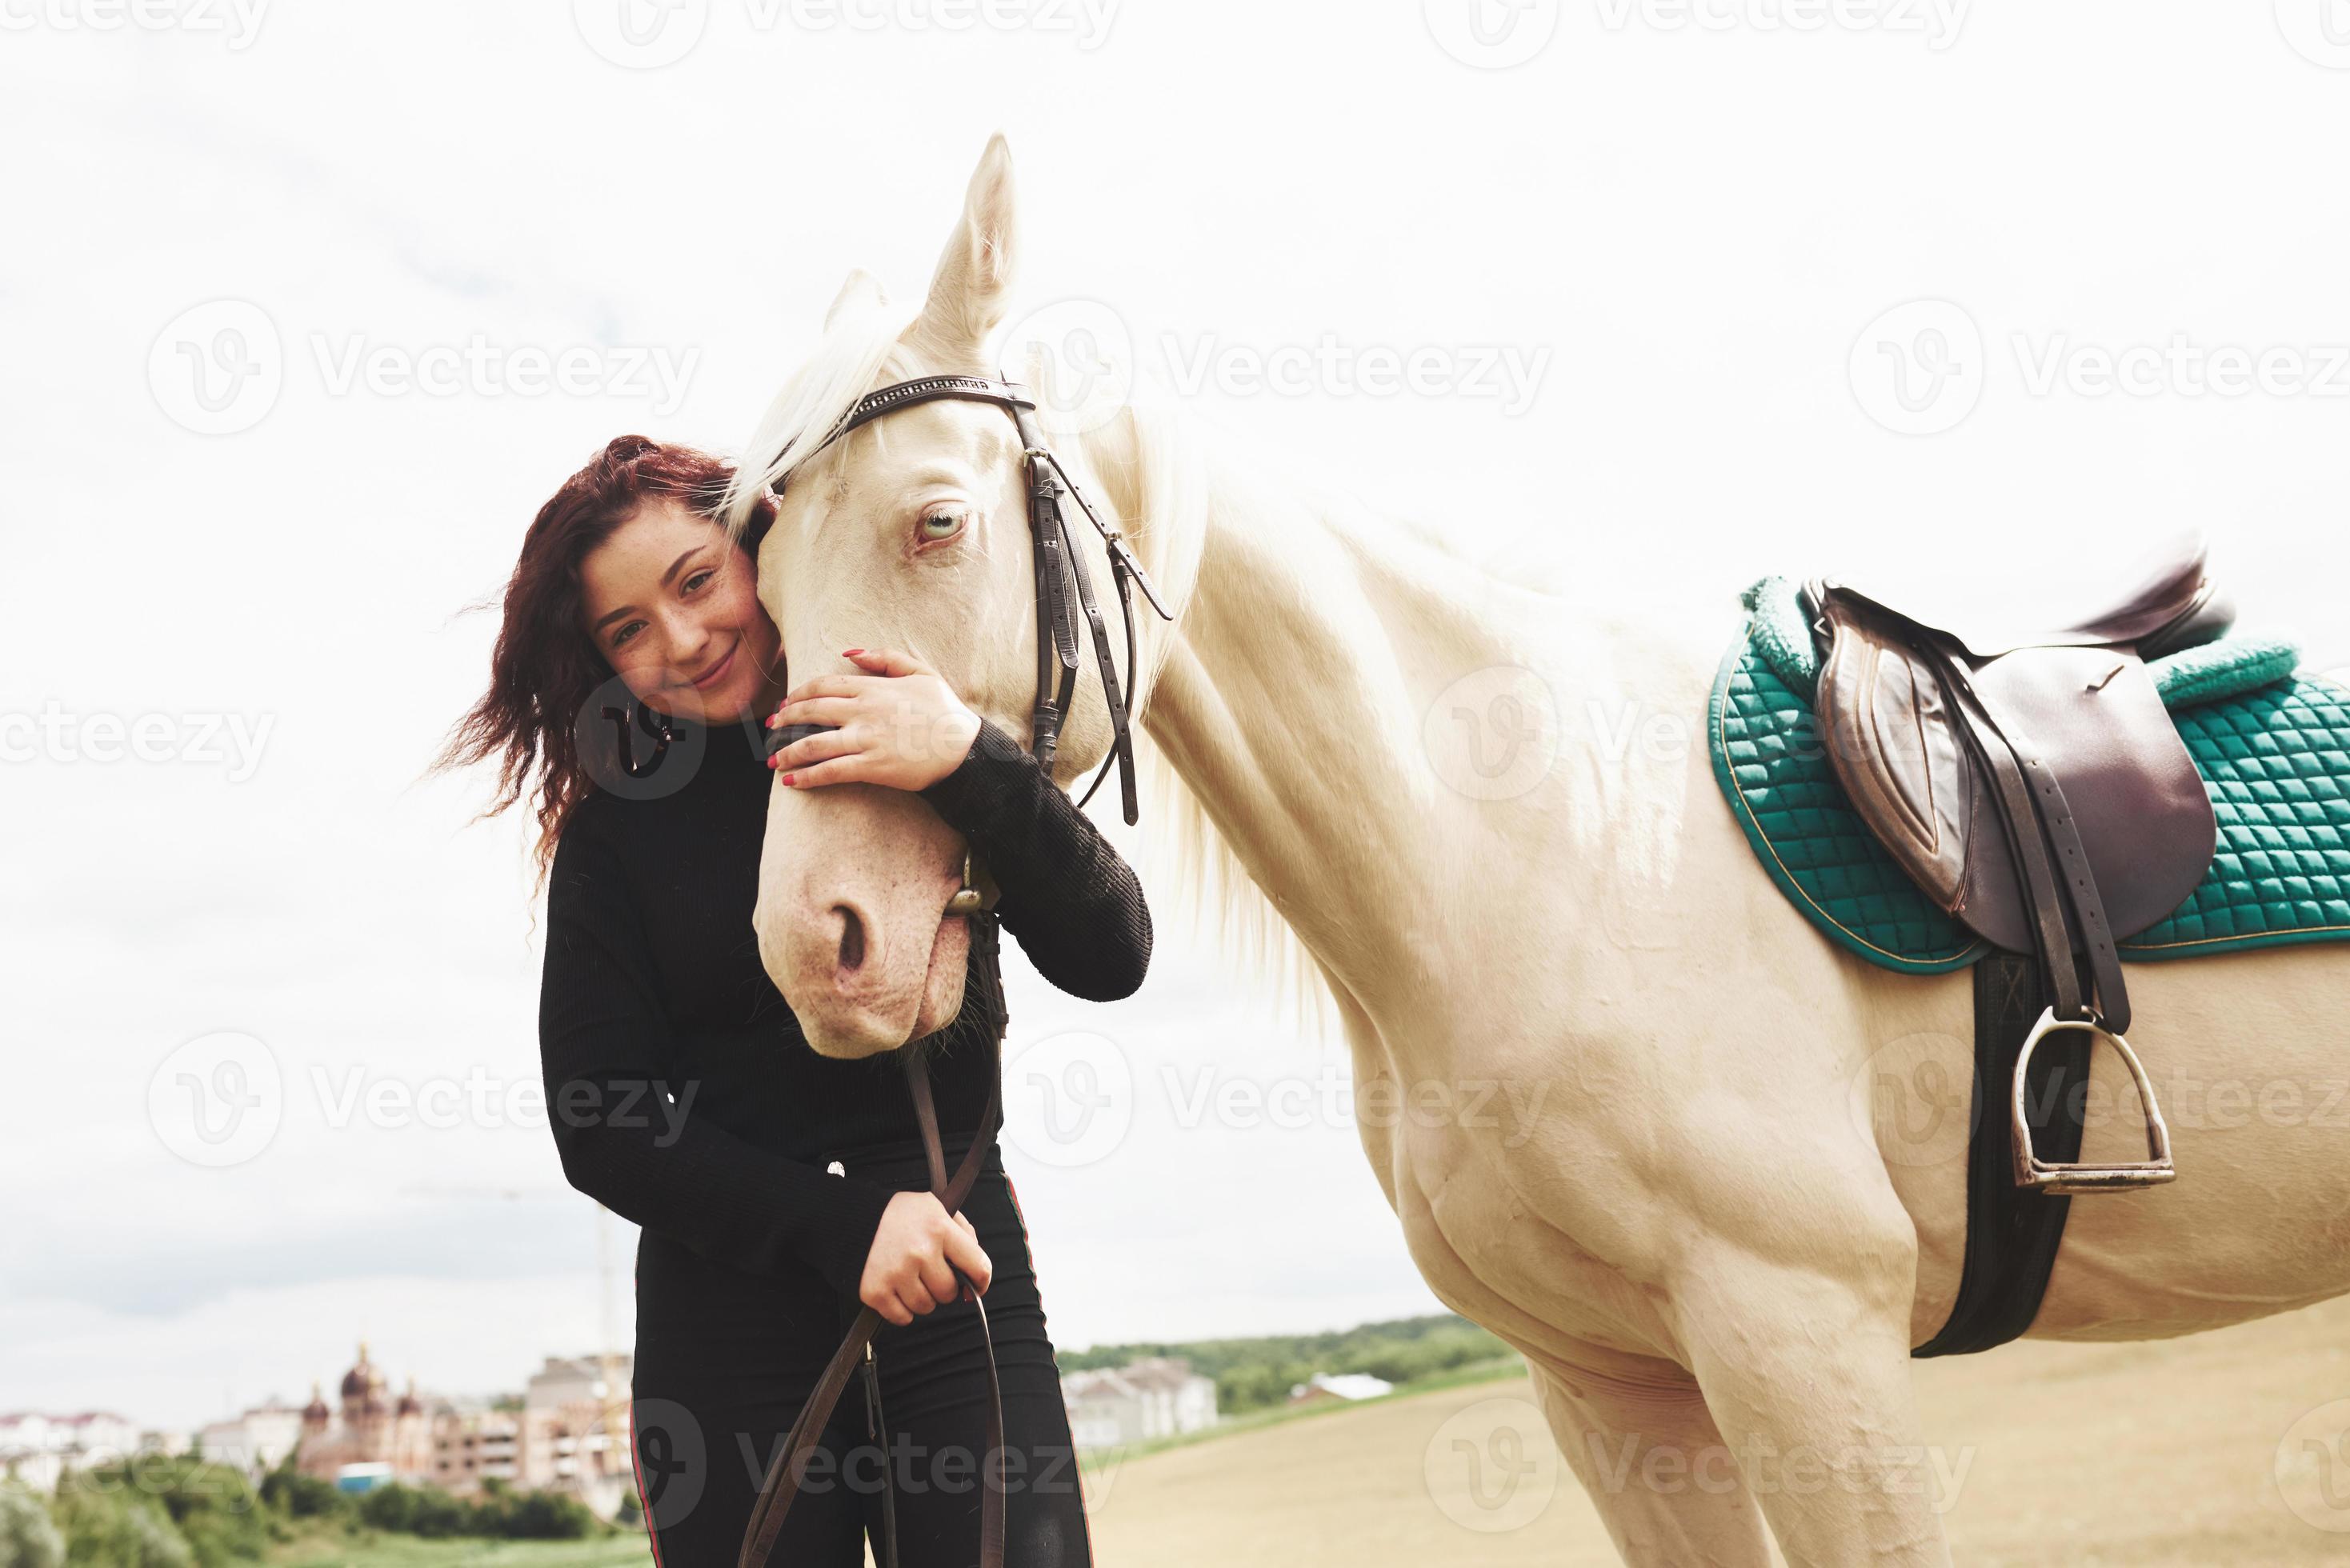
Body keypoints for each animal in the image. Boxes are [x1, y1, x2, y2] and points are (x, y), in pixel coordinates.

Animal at [723, 141, 2340, 1561]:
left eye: (935, 522)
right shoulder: (1610, 1393)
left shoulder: (1807, 1344)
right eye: (761, 581)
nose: (815, 947)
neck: (1545, 853)